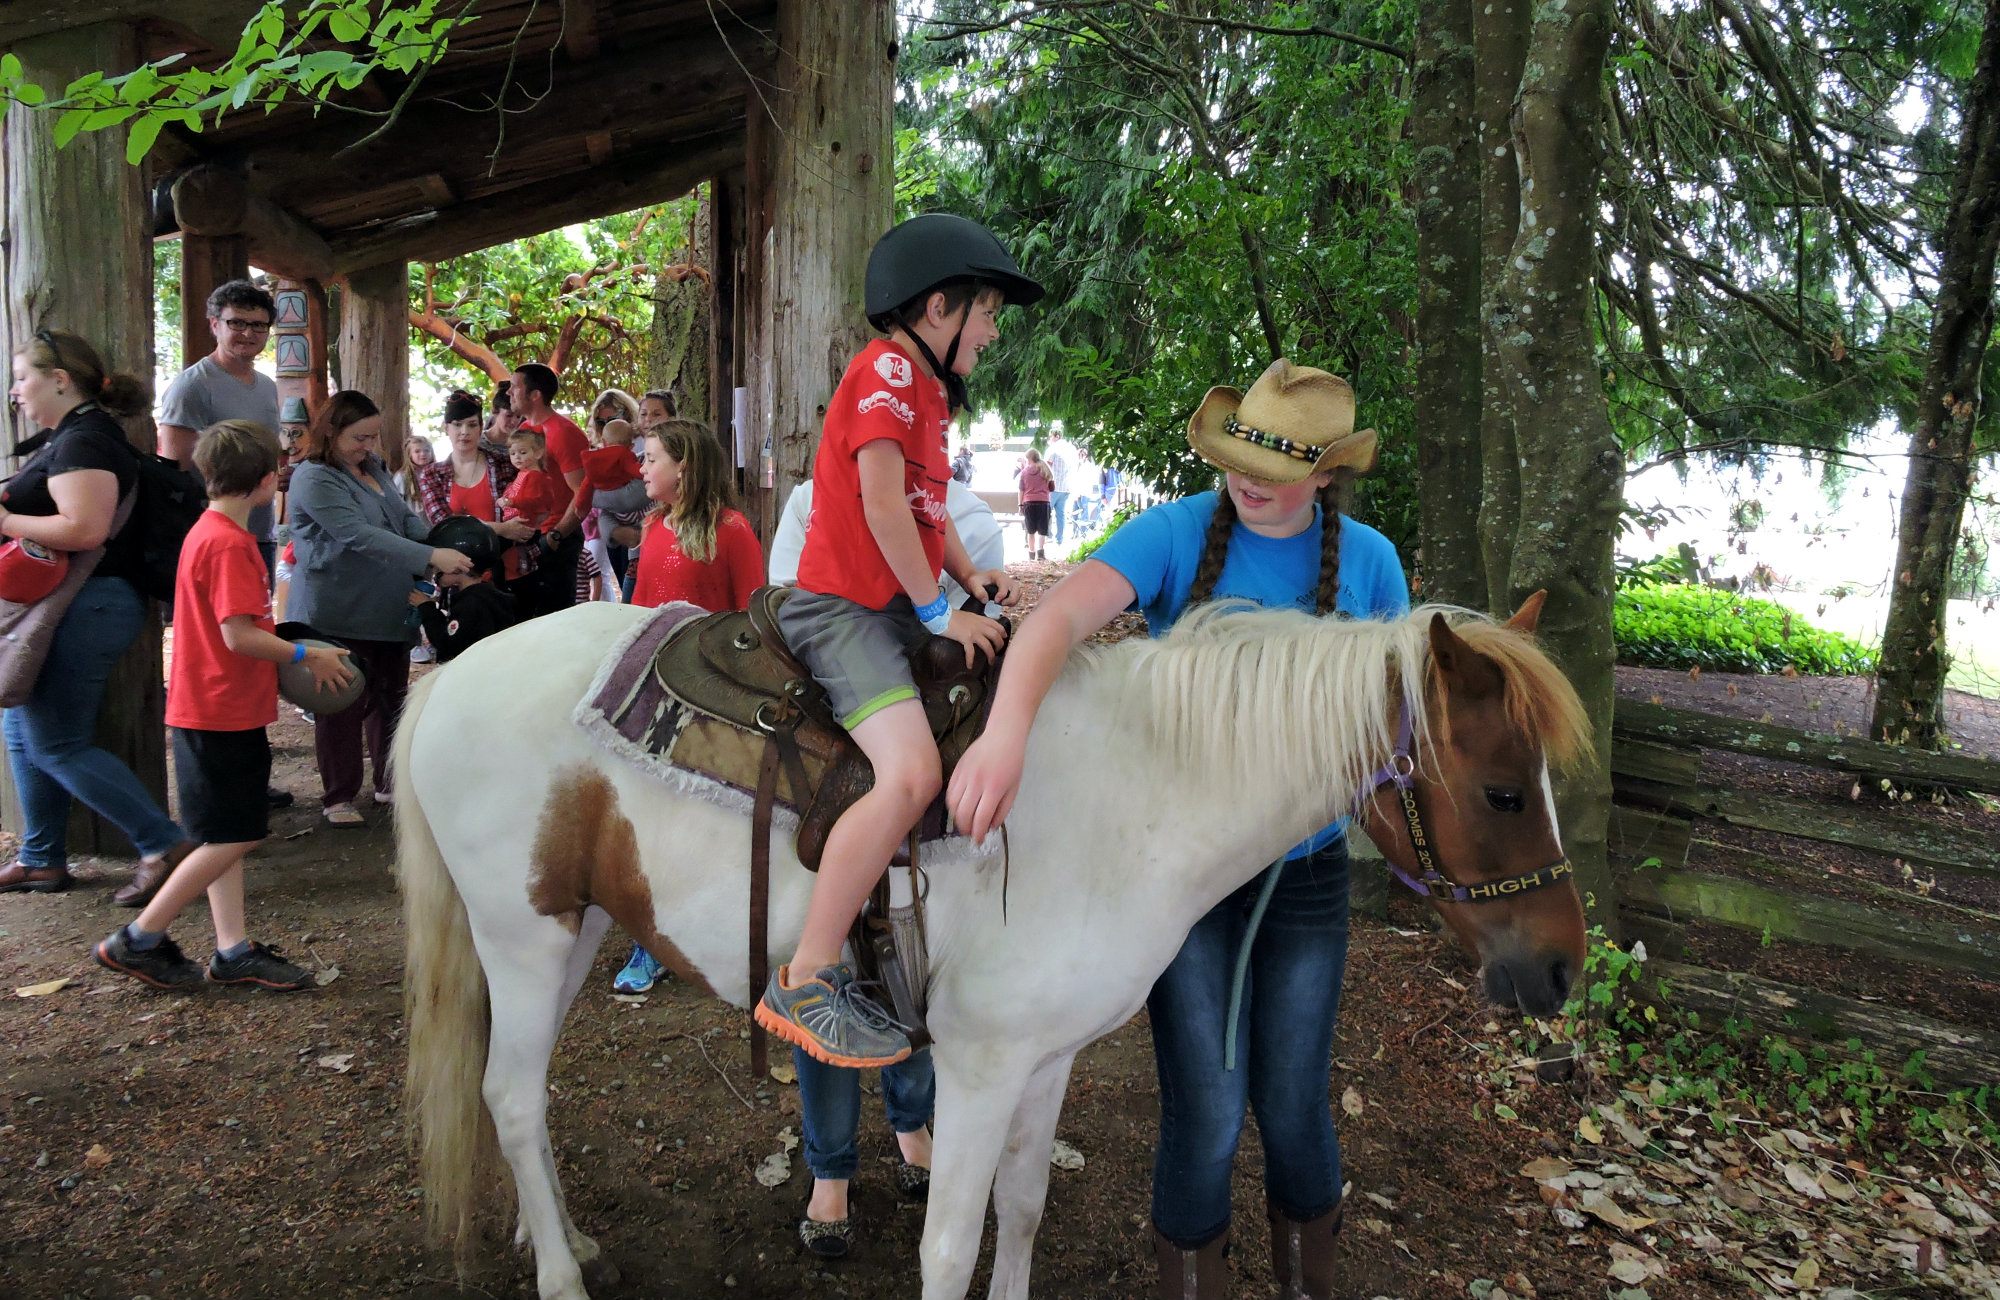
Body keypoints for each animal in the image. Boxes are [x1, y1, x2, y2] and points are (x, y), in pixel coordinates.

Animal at [394, 592, 1592, 1288]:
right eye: (1500, 789)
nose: (1561, 968)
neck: (1135, 788)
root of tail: (448, 673)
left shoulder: (1045, 1058)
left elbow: (1019, 1212)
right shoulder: (975, 1066)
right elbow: (949, 1242)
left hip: (579, 926)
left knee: (516, 1097)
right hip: (522, 935)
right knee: (510, 1097)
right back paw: (559, 1274)